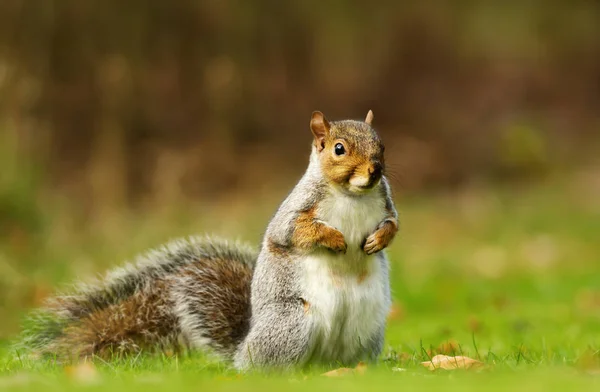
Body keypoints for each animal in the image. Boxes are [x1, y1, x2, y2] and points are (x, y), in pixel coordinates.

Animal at [17, 110, 398, 370]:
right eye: (339, 149)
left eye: (381, 145)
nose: (375, 170)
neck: (352, 195)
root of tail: (242, 351)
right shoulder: (296, 210)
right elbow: (293, 233)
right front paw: (334, 238)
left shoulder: (386, 204)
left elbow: (392, 223)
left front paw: (378, 239)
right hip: (292, 324)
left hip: (367, 330)